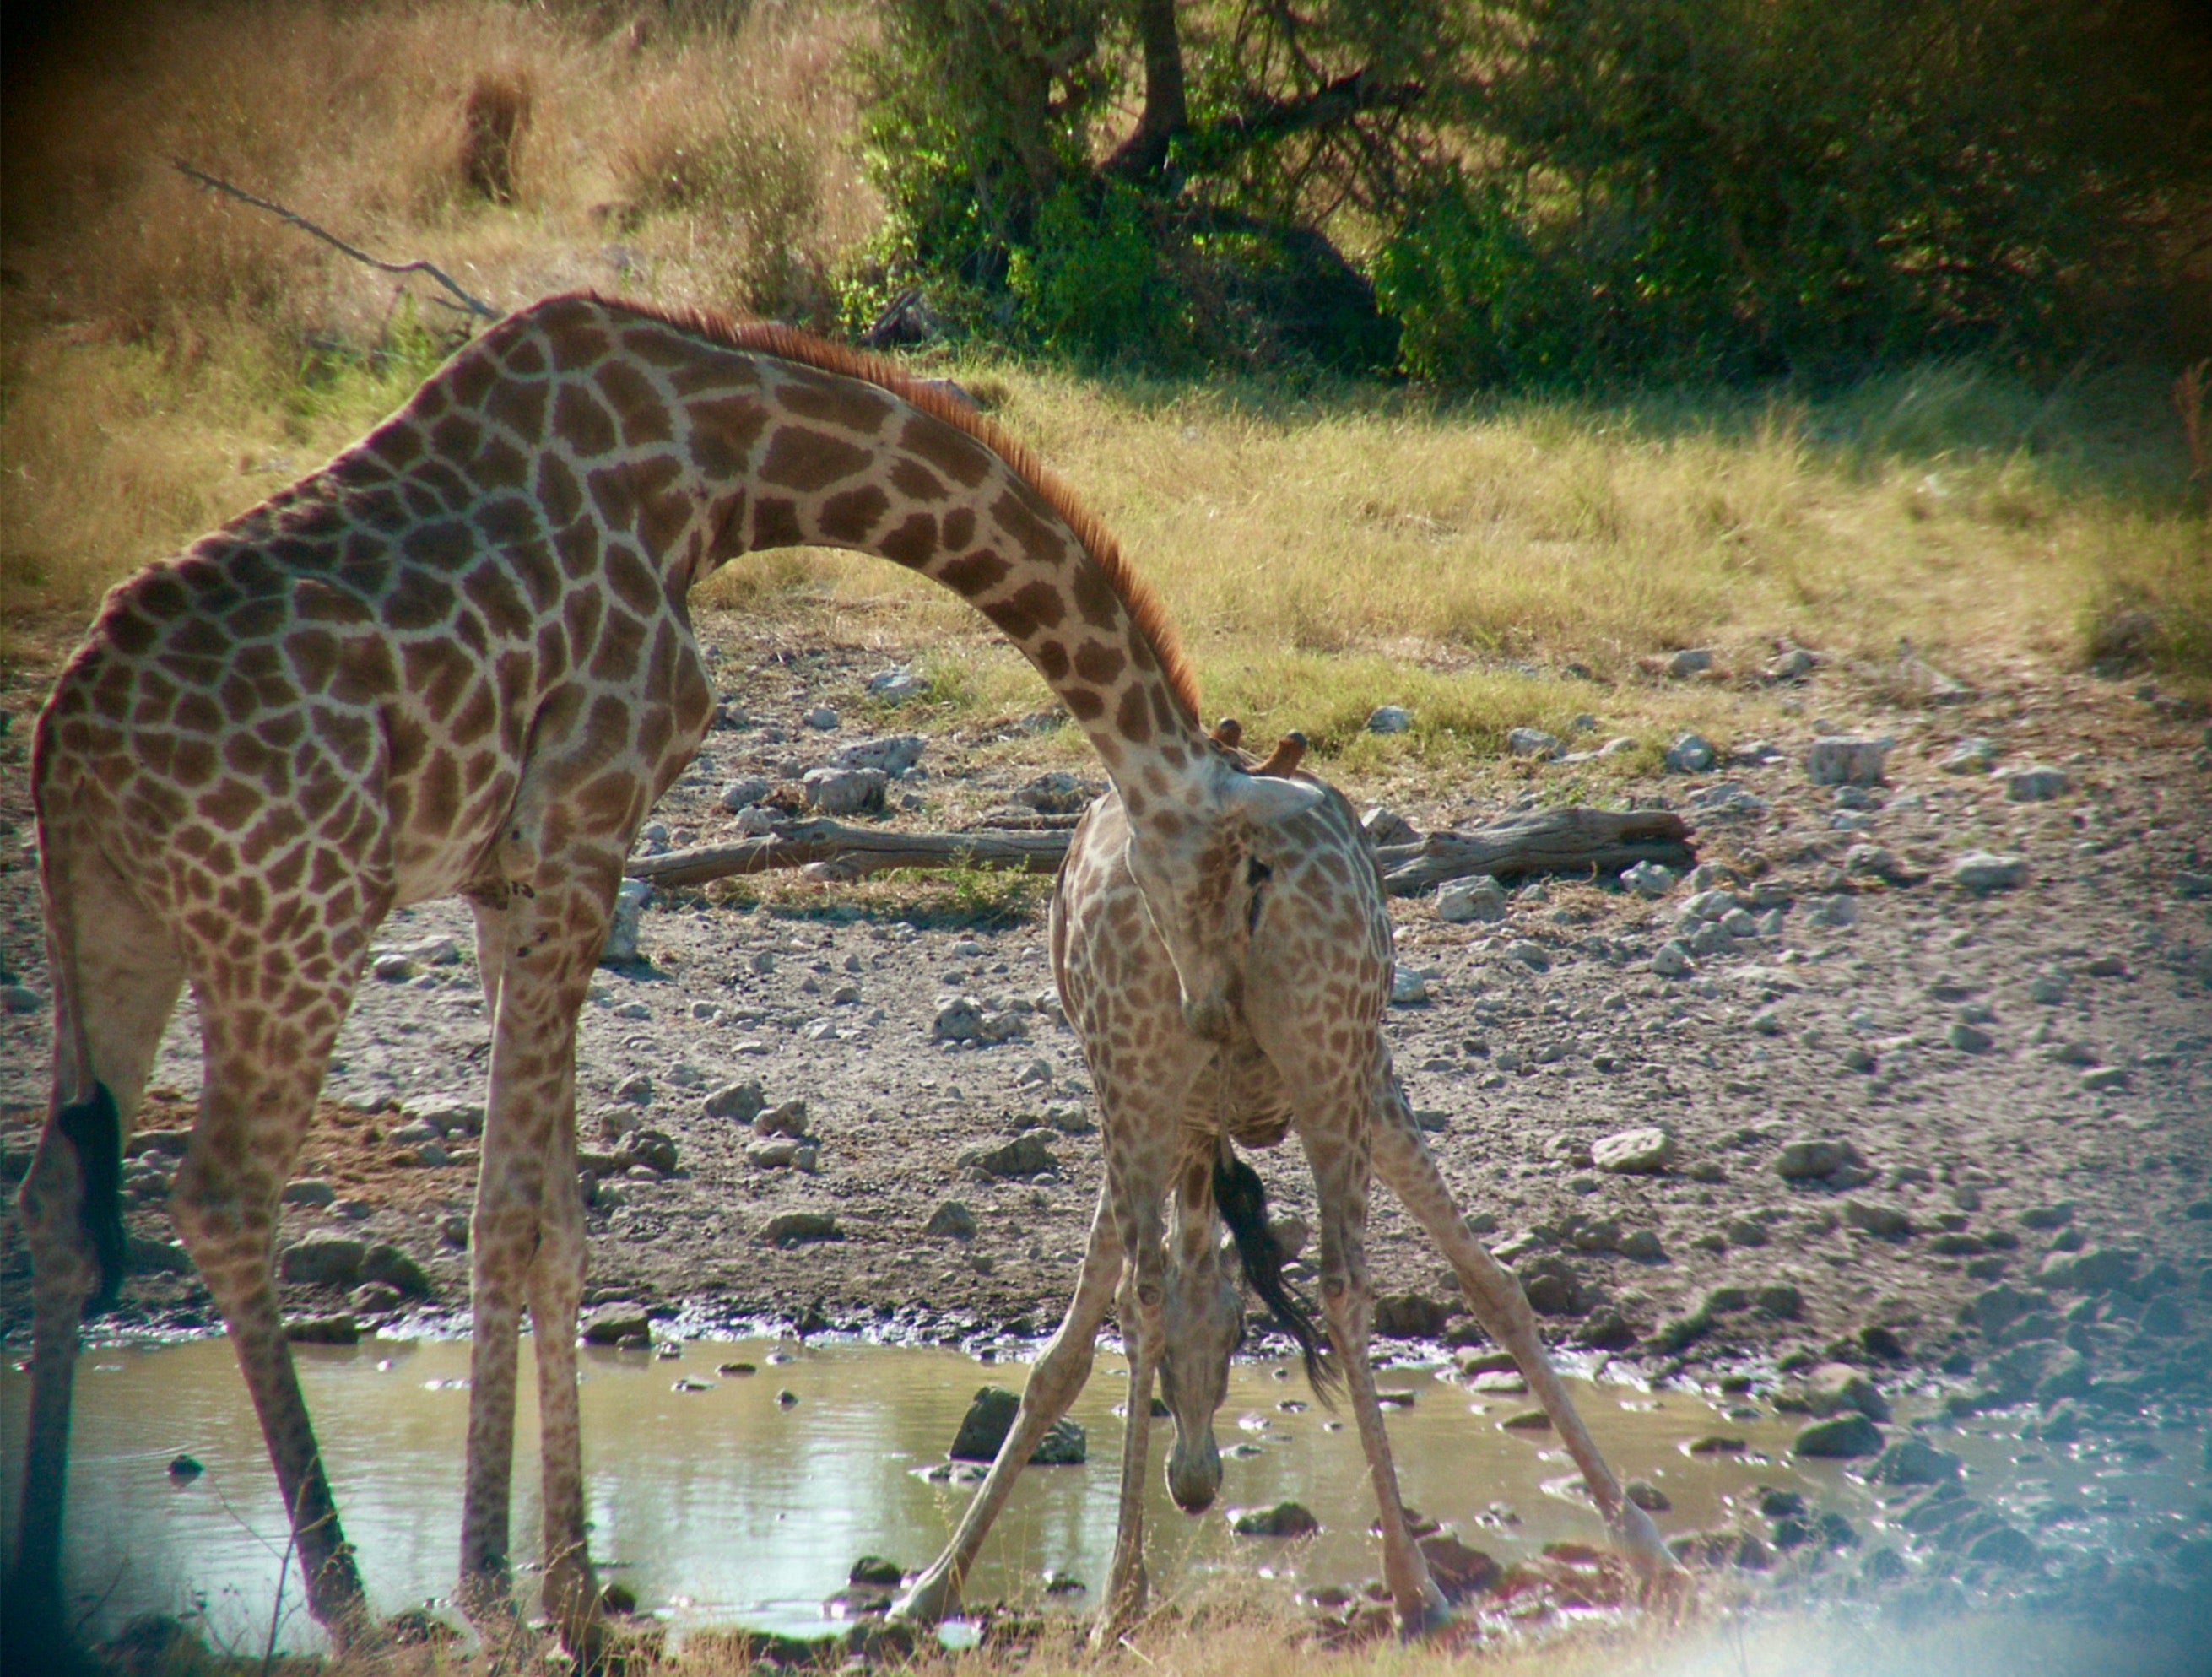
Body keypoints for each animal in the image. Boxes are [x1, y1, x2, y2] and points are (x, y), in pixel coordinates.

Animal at [8, 292, 1309, 1672]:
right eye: (1238, 871)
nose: (1226, 1038)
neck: (717, 473)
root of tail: (64, 742)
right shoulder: (584, 824)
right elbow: (507, 1211)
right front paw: (495, 1591)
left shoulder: (511, 874)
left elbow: (560, 1218)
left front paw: (575, 1595)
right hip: (295, 918)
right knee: (222, 1197)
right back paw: (356, 1604)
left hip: (115, 925)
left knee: (58, 1194)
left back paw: (45, 1586)